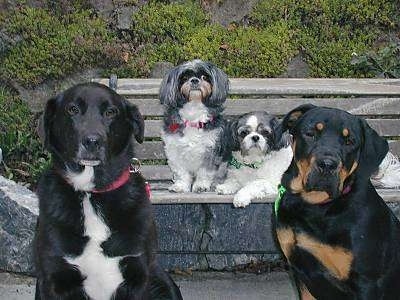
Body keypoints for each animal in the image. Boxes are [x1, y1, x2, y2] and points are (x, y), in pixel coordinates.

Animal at [34, 83, 181, 300]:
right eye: (72, 109)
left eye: (111, 112)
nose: (92, 141)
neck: (92, 193)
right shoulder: (54, 277)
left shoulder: (138, 275)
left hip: (162, 280)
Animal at [159, 59, 228, 193]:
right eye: (185, 77)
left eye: (204, 77)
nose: (194, 80)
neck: (193, 113)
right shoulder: (174, 150)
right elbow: (181, 172)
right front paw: (181, 186)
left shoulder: (210, 149)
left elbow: (205, 171)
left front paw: (201, 185)